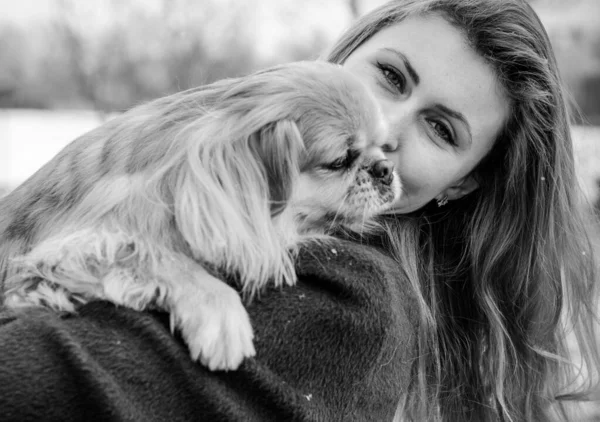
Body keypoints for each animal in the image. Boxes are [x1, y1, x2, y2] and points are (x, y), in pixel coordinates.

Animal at [1, 61, 404, 370]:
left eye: (384, 147)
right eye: (340, 161)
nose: (385, 168)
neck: (175, 180)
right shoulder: (75, 245)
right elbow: (162, 256)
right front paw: (220, 312)